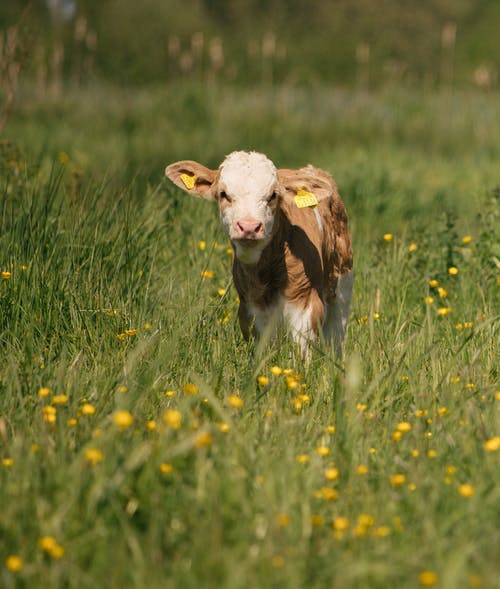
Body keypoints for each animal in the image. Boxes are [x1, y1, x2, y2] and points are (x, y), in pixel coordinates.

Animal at [166, 149, 354, 356]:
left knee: (336, 335)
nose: (249, 227)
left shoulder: (306, 304)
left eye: (273, 195)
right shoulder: (250, 308)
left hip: (342, 285)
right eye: (224, 194)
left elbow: (301, 351)